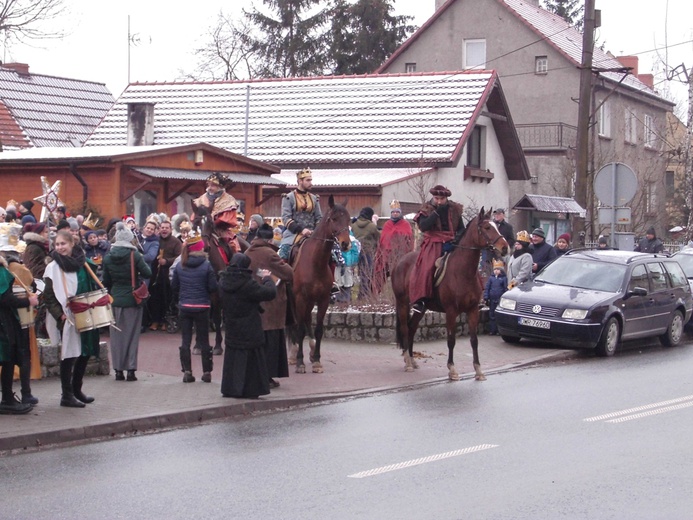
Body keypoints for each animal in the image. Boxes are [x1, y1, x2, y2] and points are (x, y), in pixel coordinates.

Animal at [288, 196, 352, 374]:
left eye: (349, 219)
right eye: (334, 218)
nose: (345, 244)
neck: (315, 263)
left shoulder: (323, 300)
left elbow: (318, 329)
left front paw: (316, 360)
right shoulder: (300, 298)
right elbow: (300, 329)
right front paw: (300, 362)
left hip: (310, 302)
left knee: (307, 320)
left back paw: (310, 350)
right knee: (293, 324)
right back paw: (293, 353)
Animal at [390, 207, 508, 382]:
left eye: (497, 226)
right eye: (487, 227)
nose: (505, 247)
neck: (463, 272)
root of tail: (400, 261)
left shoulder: (473, 310)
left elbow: (474, 340)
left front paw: (478, 370)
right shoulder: (451, 311)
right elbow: (451, 340)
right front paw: (452, 369)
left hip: (421, 308)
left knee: (412, 328)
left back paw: (411, 359)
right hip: (402, 303)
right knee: (405, 328)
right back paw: (408, 362)